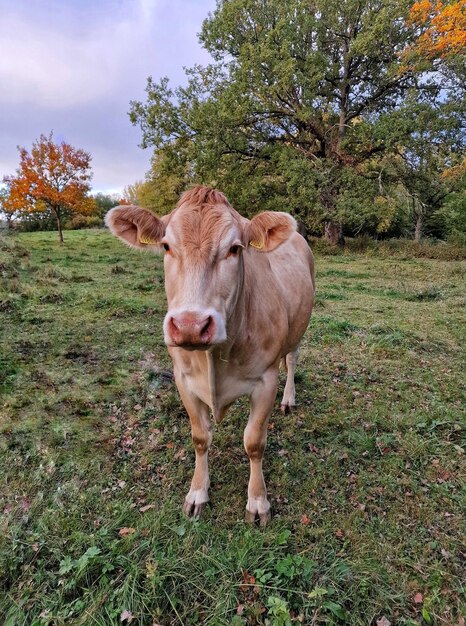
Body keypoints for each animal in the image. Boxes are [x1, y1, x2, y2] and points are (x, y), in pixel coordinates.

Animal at [106, 184, 314, 520]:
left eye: (235, 248)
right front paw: (197, 493)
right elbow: (200, 438)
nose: (190, 325)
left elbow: (254, 442)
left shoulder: (266, 380)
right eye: (166, 246)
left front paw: (258, 501)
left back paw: (289, 399)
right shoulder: (183, 379)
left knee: (292, 361)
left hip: (299, 330)